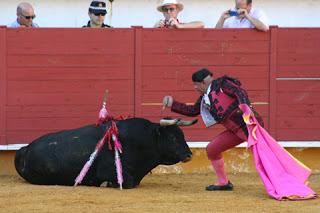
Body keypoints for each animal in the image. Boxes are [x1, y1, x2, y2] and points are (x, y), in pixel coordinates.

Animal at [14, 117, 195, 189]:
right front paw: (105, 184)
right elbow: (127, 182)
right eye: (172, 137)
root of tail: (25, 149)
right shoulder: (110, 171)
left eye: (182, 135)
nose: (189, 155)